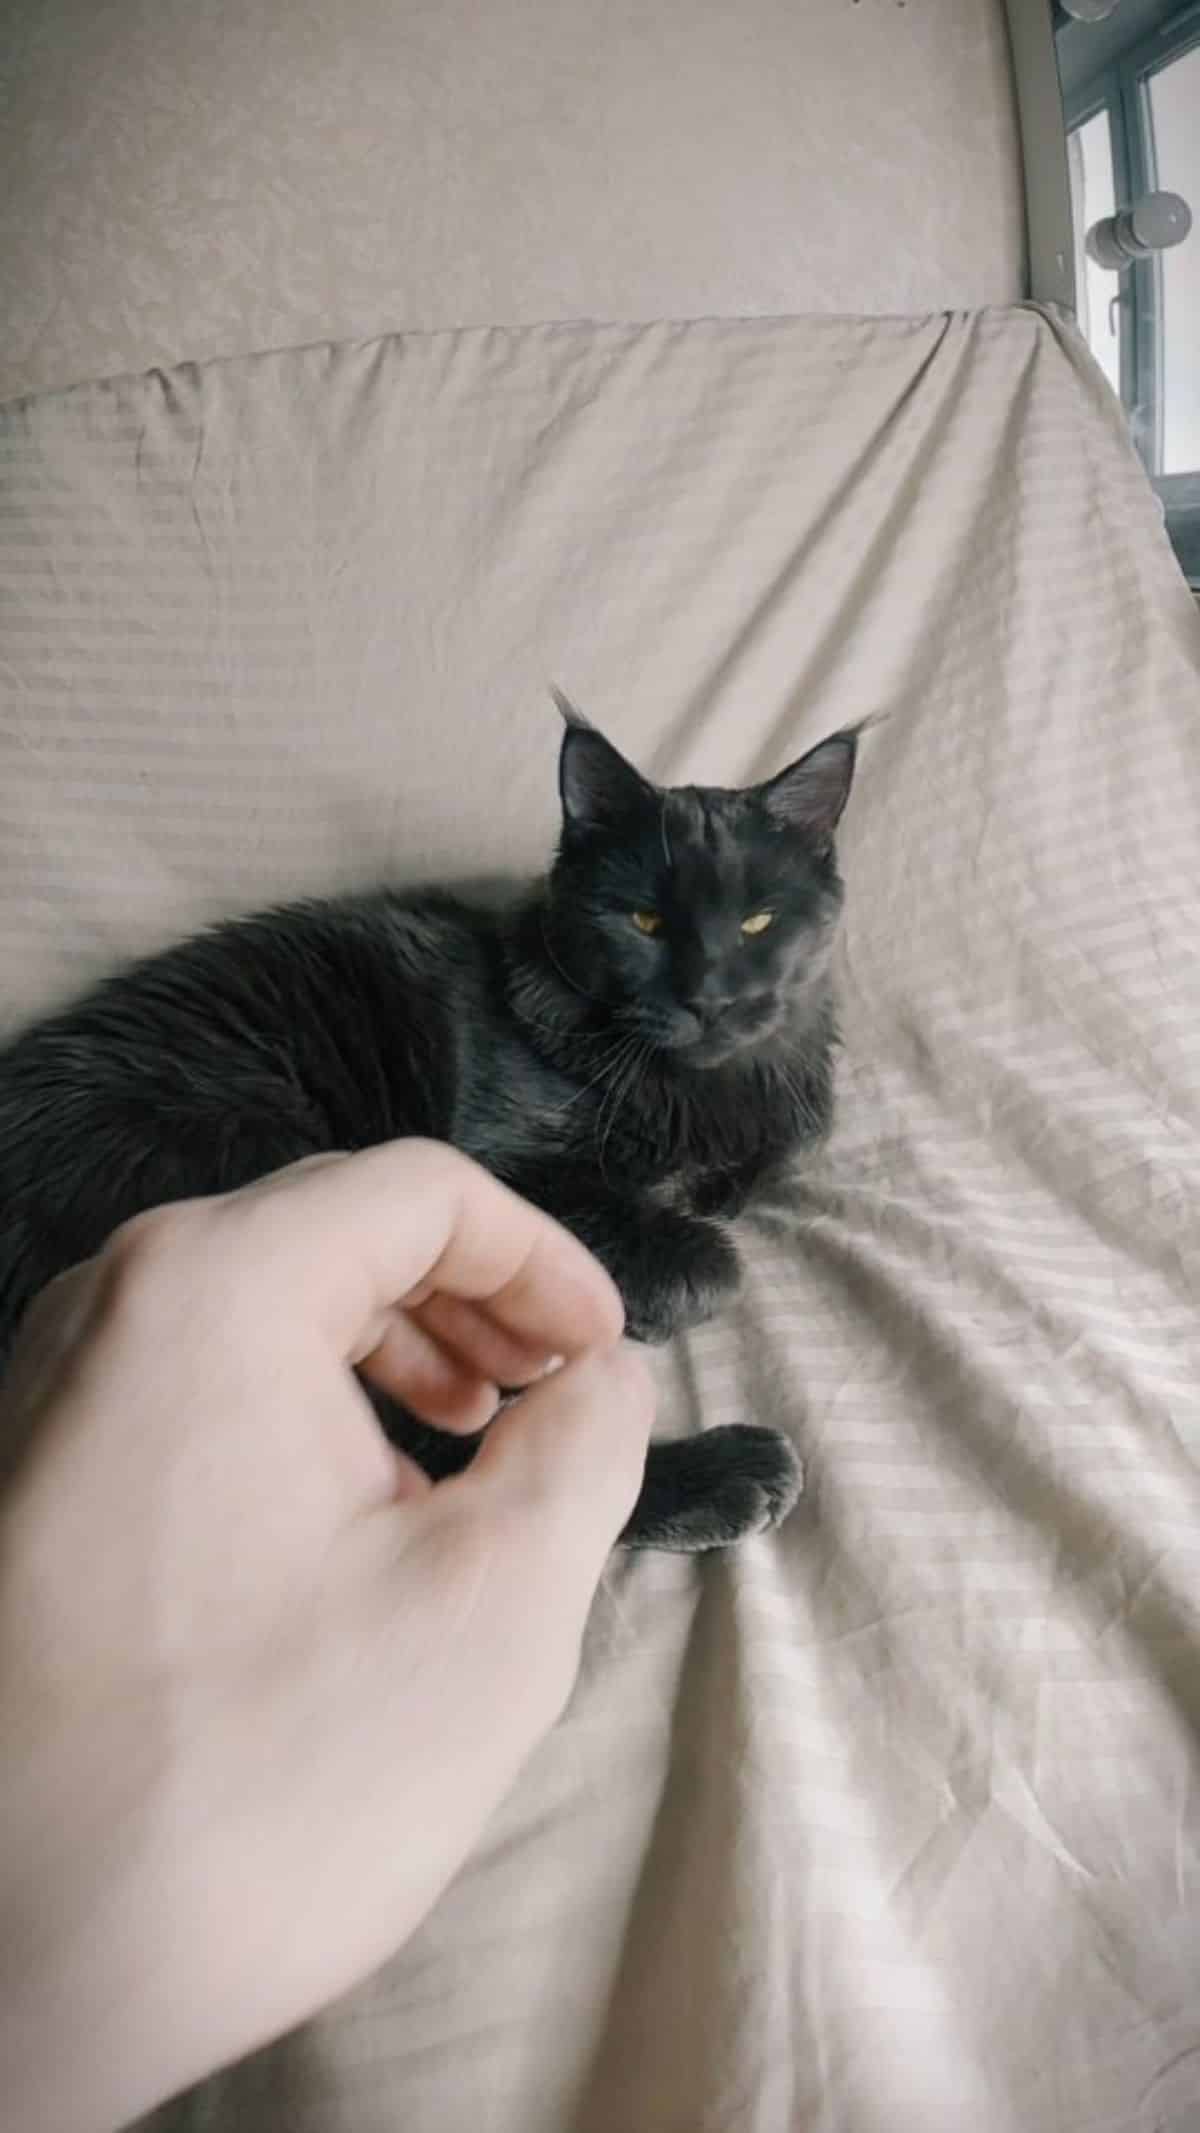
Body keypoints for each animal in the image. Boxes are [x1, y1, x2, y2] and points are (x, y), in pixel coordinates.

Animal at [2, 708, 865, 1544]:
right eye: (645, 921)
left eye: (759, 922)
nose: (710, 998)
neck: (702, 1089)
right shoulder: (506, 1174)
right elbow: (711, 1260)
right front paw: (665, 1287)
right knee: (451, 1455)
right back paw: (730, 1472)